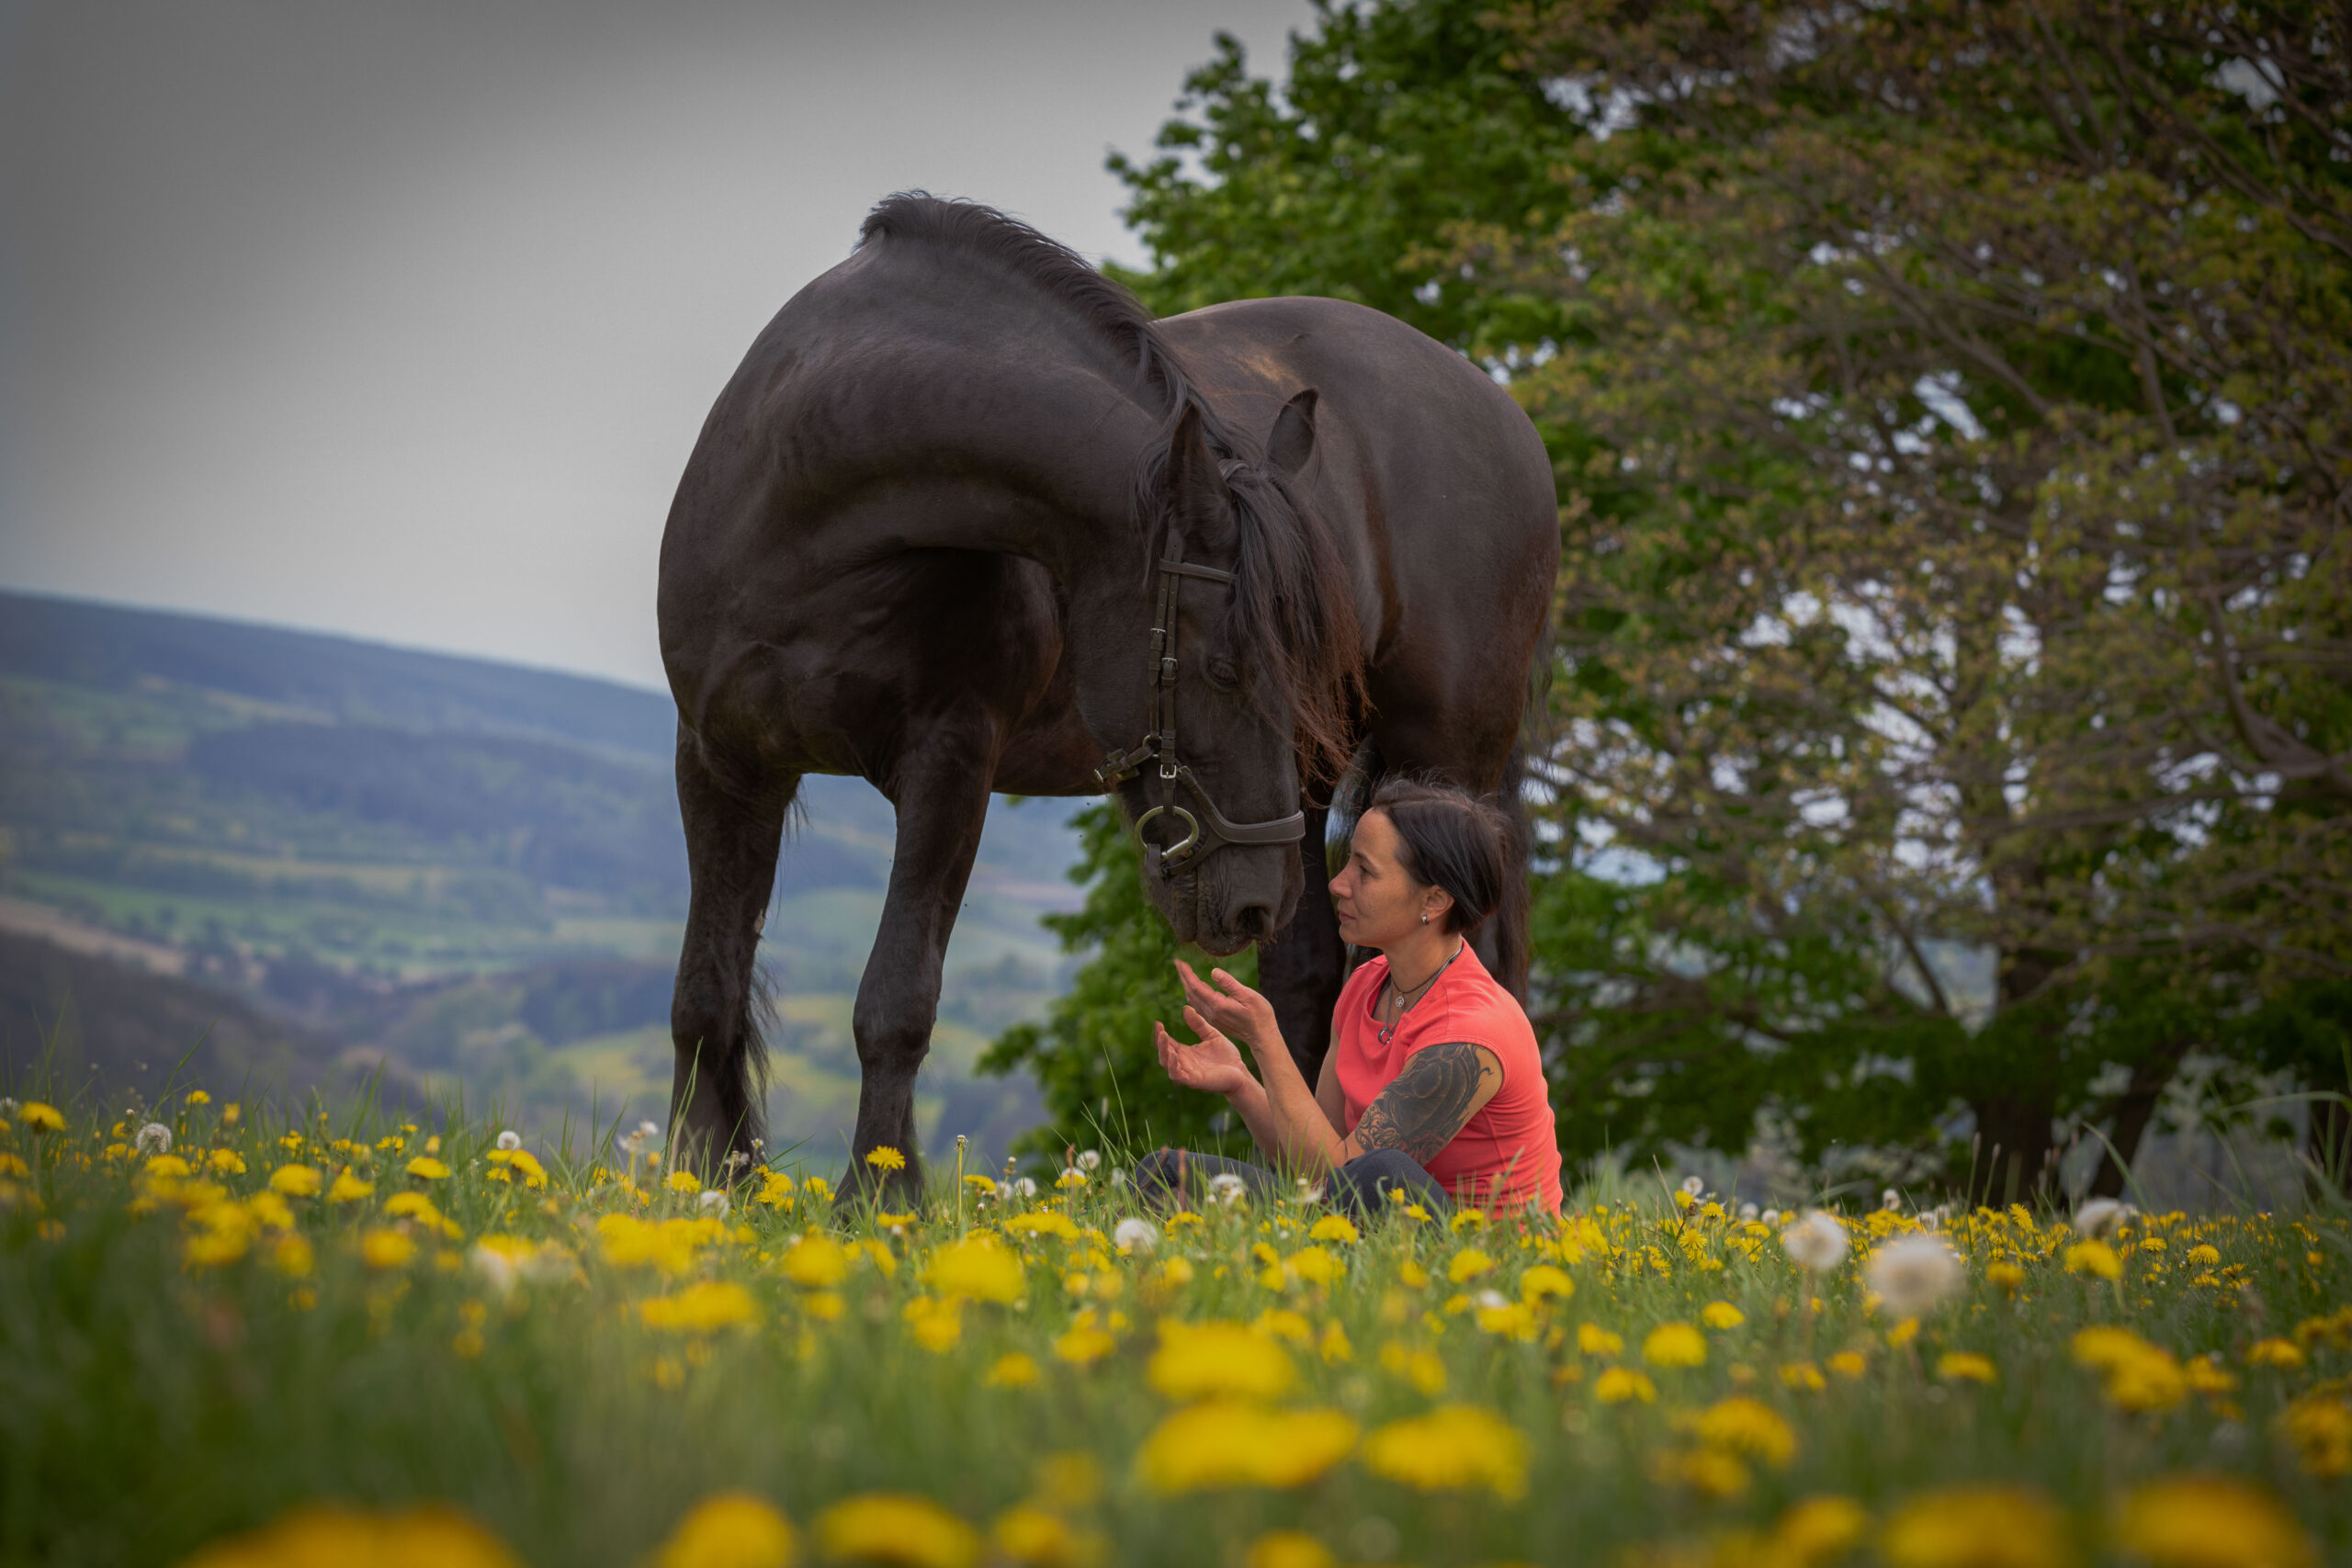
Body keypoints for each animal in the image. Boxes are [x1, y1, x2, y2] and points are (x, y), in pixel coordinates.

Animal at [653, 196, 1552, 1203]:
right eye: (1224, 669)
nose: (1246, 904)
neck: (809, 501)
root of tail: (1503, 414)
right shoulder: (721, 764)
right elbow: (705, 994)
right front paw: (703, 1188)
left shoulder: (949, 764)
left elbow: (896, 999)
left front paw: (881, 1200)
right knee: (1306, 972)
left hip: (1443, 756)